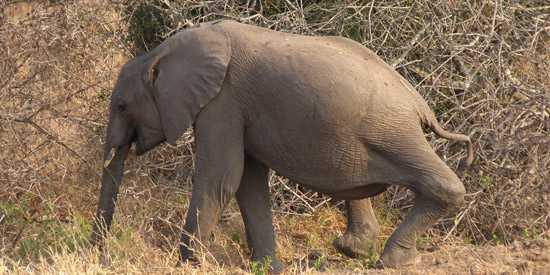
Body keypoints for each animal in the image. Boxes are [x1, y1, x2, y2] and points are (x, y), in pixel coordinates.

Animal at [90, 20, 474, 272]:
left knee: (439, 183)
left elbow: (221, 179)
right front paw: (269, 267)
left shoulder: (222, 102)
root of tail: (420, 105)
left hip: (392, 131)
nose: (100, 251)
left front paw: (189, 263)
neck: (161, 52)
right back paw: (352, 249)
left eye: (121, 106)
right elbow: (248, 185)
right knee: (359, 187)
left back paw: (393, 260)